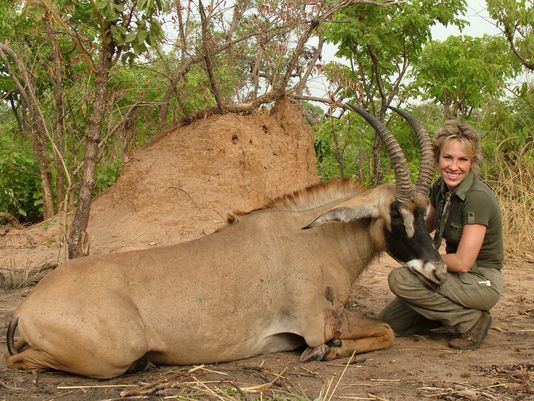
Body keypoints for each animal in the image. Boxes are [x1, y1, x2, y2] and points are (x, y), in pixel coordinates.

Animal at [5, 104, 448, 376]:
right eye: (395, 213)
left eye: (426, 211)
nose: (438, 270)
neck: (317, 237)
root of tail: (26, 308)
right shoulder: (317, 324)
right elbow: (384, 333)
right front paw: (328, 352)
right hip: (116, 351)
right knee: (21, 361)